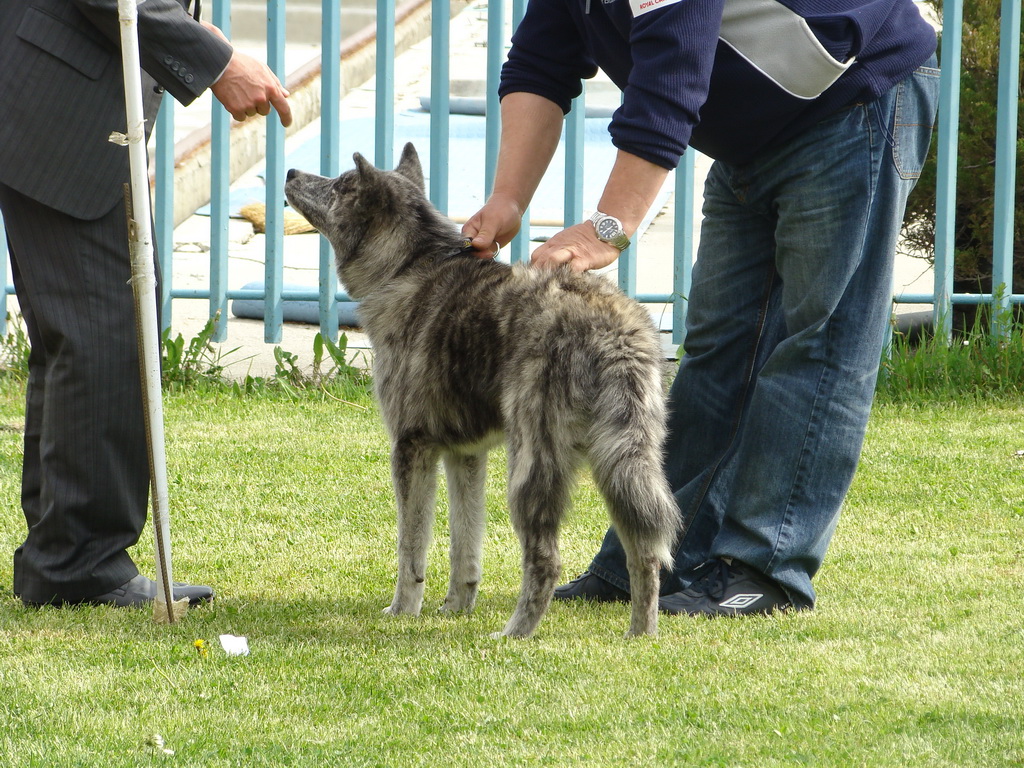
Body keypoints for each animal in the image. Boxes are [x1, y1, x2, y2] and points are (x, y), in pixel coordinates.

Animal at [284, 144, 679, 638]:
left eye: (339, 184)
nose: (289, 171)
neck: (407, 267)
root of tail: (614, 330)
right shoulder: (465, 455)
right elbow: (464, 546)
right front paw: (456, 607)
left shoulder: (412, 449)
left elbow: (411, 549)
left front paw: (403, 610)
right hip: (624, 464)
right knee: (645, 553)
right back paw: (640, 636)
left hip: (530, 467)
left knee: (546, 560)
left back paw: (515, 634)